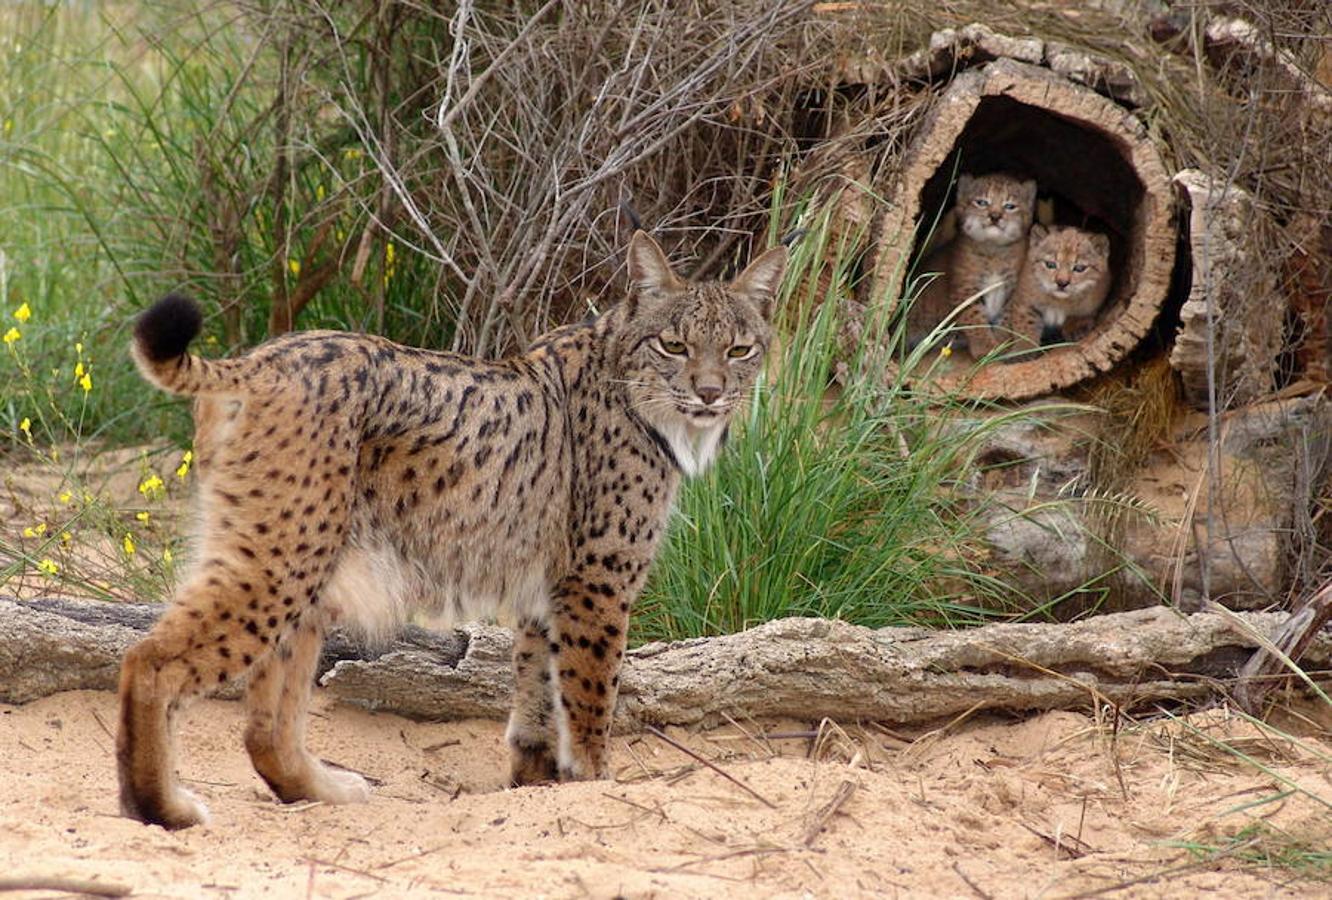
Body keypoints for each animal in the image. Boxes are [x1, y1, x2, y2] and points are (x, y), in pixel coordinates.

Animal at [117, 230, 777, 830]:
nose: (710, 393)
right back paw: (160, 808)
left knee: (263, 727)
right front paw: (595, 782)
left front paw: (536, 782)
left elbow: (538, 688)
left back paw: (321, 791)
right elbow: (590, 694)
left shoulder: (546, 586)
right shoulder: (598, 580)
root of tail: (257, 359)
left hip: (306, 559)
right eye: (674, 344)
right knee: (147, 658)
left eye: (740, 349)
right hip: (283, 554)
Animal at [905, 174, 1038, 356]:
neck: (994, 250)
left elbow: (1005, 317)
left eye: (1010, 206)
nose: (995, 216)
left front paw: (1001, 343)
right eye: (981, 202)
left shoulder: (1013, 287)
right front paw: (986, 348)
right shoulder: (965, 289)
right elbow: (975, 318)